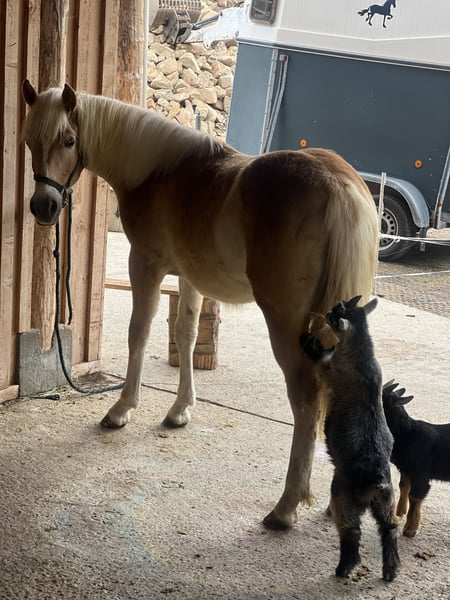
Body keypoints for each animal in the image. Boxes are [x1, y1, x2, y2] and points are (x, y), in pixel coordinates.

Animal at [21, 79, 379, 531]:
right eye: (29, 140)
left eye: (69, 139)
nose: (43, 207)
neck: (155, 170)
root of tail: (339, 186)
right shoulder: (190, 278)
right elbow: (187, 335)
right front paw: (179, 411)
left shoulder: (146, 265)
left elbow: (139, 333)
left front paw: (121, 410)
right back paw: (335, 503)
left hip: (286, 325)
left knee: (306, 399)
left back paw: (285, 507)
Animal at [300, 295, 400, 582]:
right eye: (340, 305)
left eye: (336, 314)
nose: (327, 311)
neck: (362, 354)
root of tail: (377, 480)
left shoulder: (327, 368)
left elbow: (319, 355)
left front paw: (307, 339)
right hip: (387, 504)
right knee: (389, 529)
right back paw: (391, 569)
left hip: (343, 498)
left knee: (351, 530)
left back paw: (344, 568)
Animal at [383, 380, 450, 537]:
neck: (407, 434)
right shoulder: (406, 469)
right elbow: (403, 486)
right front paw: (399, 513)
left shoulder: (421, 473)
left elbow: (415, 496)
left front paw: (410, 529)